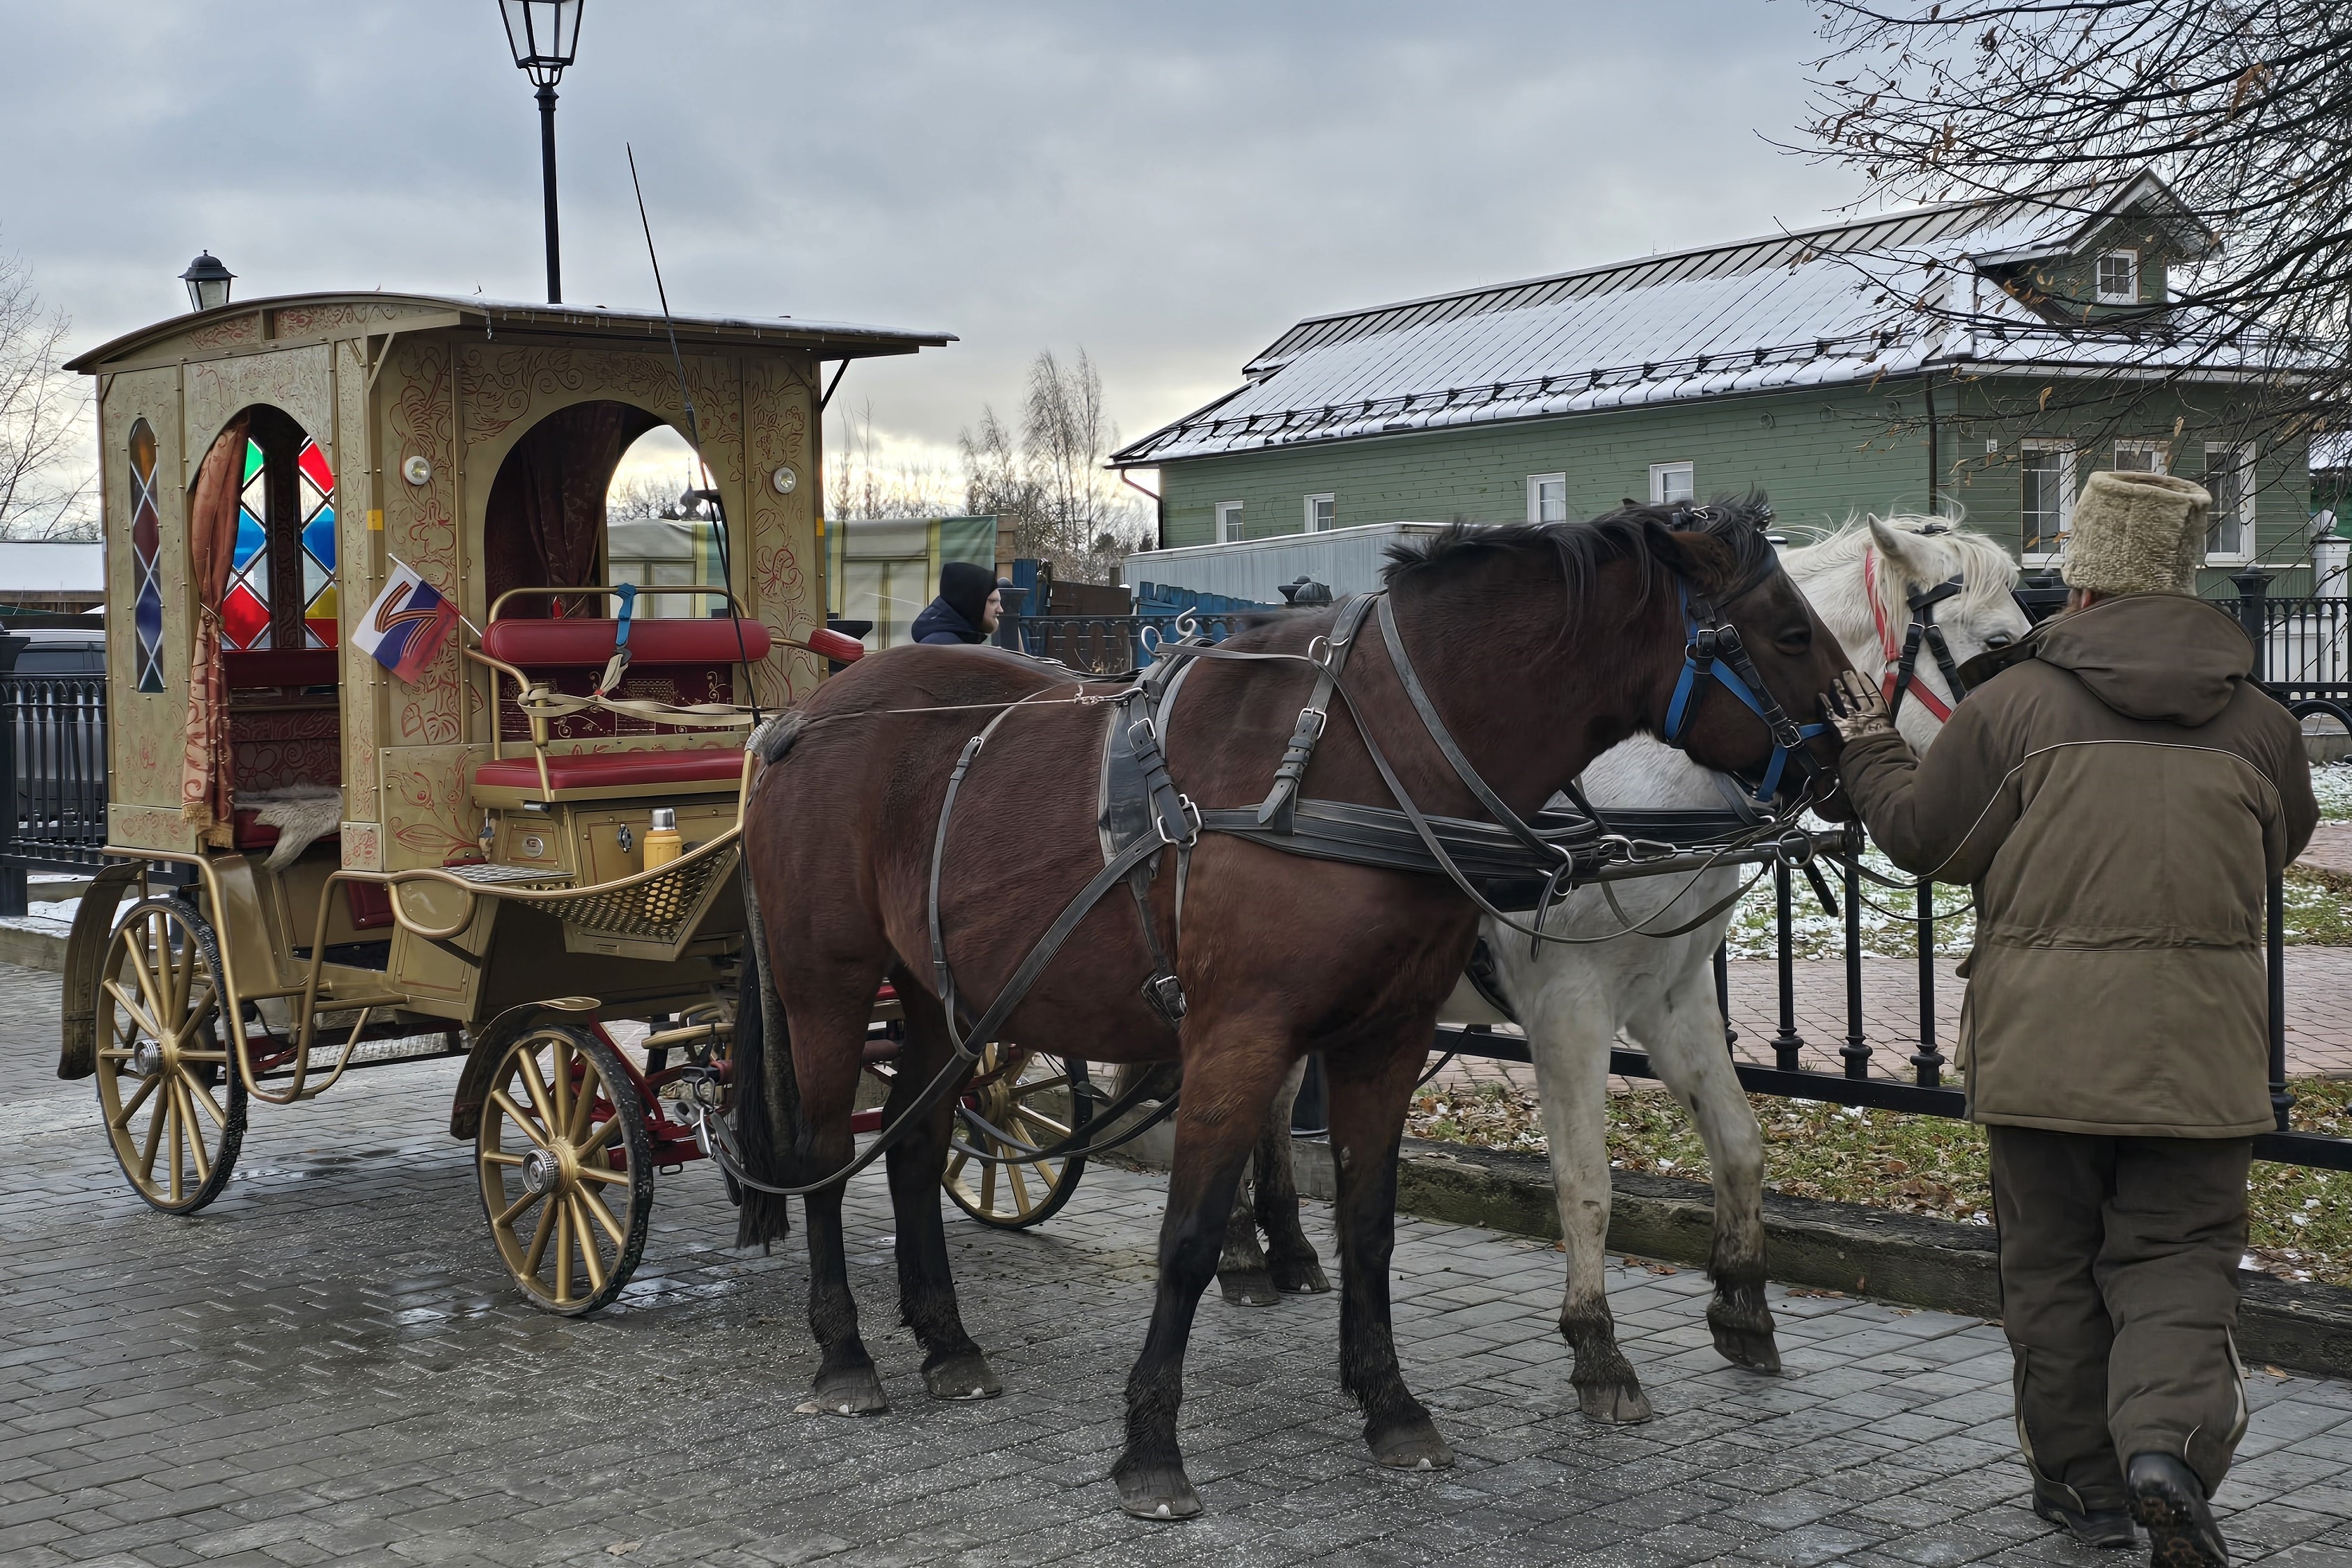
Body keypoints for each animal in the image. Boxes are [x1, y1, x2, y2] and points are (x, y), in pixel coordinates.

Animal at [733, 496, 1853, 1514]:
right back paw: (846, 1352)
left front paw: (1389, 1403)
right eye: (1791, 632)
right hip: (830, 986)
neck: (1357, 755)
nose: (1851, 766)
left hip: (942, 996)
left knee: (917, 1144)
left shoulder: (1389, 1037)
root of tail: (797, 720)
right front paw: (1151, 1445)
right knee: (826, 1155)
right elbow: (1186, 1236)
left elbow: (1372, 1224)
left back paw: (946, 1339)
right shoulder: (1248, 1033)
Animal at [1214, 512, 2023, 1420]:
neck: (1655, 788)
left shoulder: (1672, 996)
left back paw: (1281, 1245)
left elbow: (1739, 1142)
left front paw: (1742, 1302)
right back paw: (1241, 1250)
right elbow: (1585, 1178)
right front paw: (1596, 1342)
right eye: (1996, 645)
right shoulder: (1569, 1007)